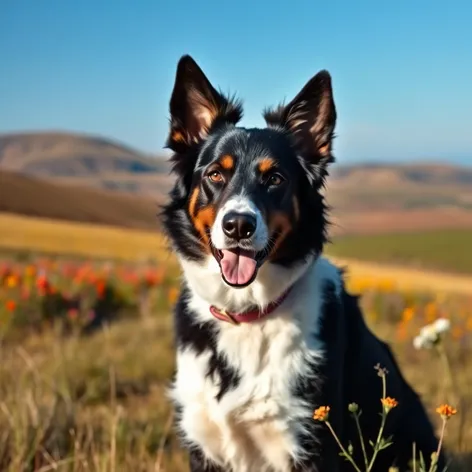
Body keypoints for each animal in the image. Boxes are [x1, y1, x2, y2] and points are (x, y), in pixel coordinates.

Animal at [160, 56, 444, 472]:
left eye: (275, 178)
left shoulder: (309, 440)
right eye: (215, 174)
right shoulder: (205, 440)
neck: (248, 313)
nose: (238, 225)